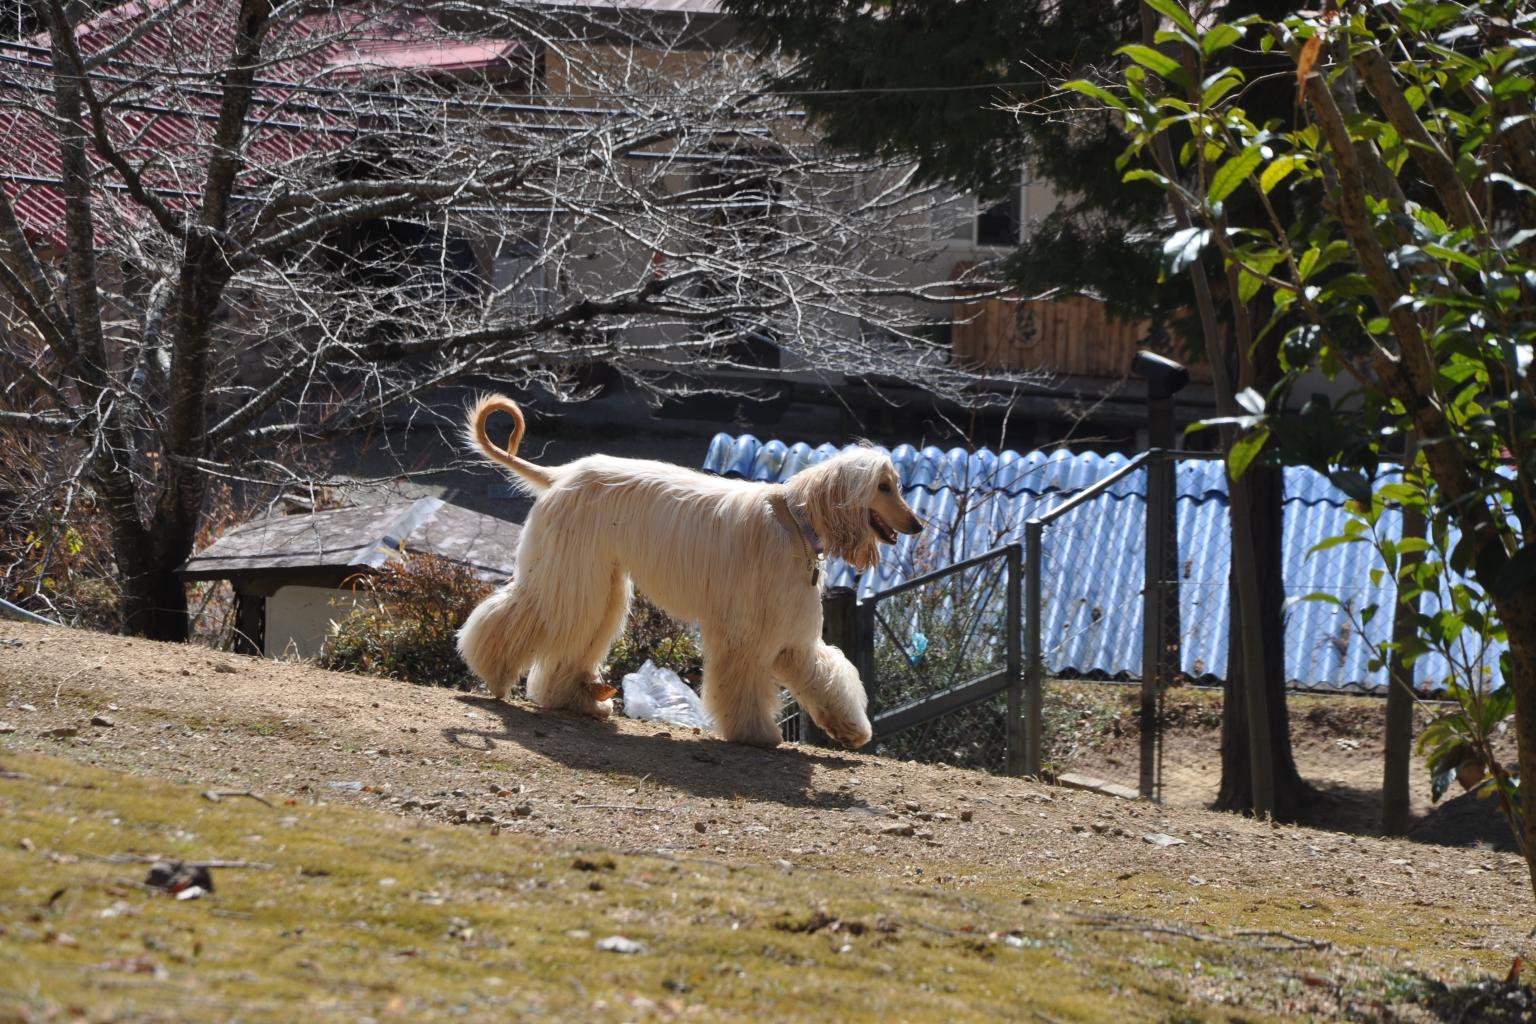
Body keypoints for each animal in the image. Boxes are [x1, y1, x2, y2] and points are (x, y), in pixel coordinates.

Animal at [455, 395, 923, 748]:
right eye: (884, 486)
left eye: (898, 485)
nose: (917, 524)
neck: (793, 521)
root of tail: (560, 475)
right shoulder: (746, 627)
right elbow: (745, 680)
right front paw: (755, 733)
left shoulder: (789, 629)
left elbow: (821, 671)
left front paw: (851, 729)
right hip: (572, 568)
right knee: (534, 613)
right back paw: (495, 674)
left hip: (600, 577)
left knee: (577, 630)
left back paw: (574, 699)